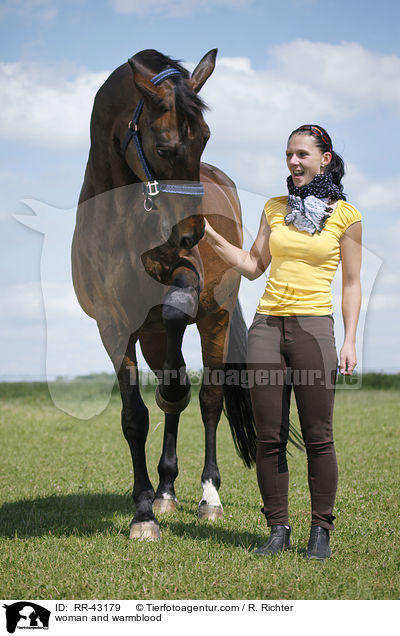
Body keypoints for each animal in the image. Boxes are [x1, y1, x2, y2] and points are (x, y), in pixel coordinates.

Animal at [71, 48, 256, 540]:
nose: (192, 234)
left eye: (206, 138)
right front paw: (143, 513)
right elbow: (135, 417)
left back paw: (209, 498)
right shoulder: (114, 326)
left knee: (208, 399)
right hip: (150, 338)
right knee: (172, 397)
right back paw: (165, 492)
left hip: (216, 320)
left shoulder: (184, 281)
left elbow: (177, 312)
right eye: (165, 147)